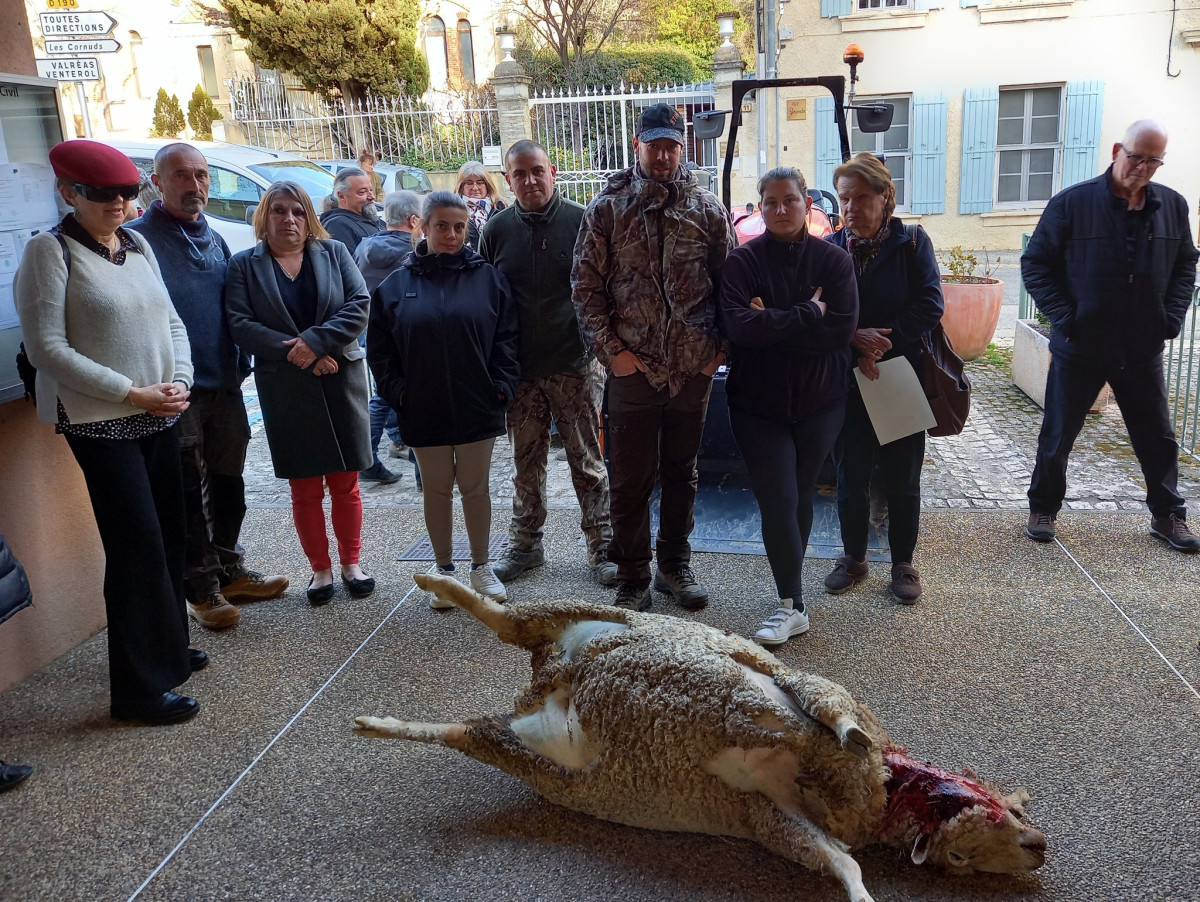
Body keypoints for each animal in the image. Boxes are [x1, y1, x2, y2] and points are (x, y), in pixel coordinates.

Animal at [350, 573, 1046, 897]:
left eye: (958, 862)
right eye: (1002, 815)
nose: (1040, 848)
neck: (879, 790)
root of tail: (547, 681)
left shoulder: (771, 817)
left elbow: (836, 856)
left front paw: (857, 888)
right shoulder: (798, 696)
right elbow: (813, 713)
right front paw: (846, 737)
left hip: (530, 754)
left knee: (467, 727)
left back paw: (378, 722)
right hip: (595, 615)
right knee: (505, 619)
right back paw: (438, 586)